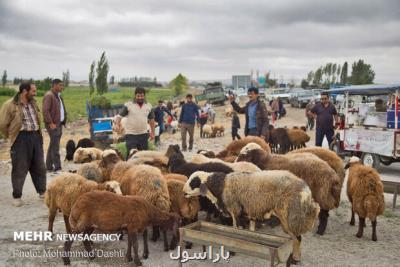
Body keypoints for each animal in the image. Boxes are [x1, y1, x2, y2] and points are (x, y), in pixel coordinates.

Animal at [184, 172, 318, 264]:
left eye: (194, 182)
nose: (183, 192)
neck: (221, 185)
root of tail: (307, 193)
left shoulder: (235, 210)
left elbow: (235, 230)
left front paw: (232, 251)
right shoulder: (250, 211)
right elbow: (251, 231)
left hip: (289, 217)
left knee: (297, 239)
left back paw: (296, 259)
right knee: (297, 238)